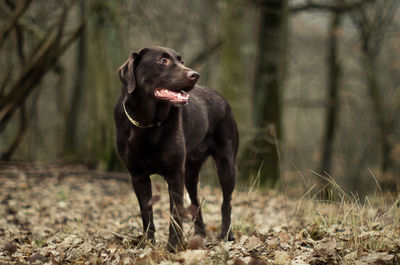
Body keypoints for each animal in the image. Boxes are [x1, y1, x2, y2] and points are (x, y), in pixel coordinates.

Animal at [113, 46, 238, 251]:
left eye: (181, 60)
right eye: (162, 61)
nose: (195, 75)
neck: (147, 125)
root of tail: (221, 97)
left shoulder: (174, 174)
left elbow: (175, 214)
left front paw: (173, 247)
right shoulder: (138, 176)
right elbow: (146, 213)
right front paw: (148, 244)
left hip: (227, 164)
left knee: (226, 203)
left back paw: (226, 235)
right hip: (190, 174)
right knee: (195, 201)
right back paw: (200, 234)